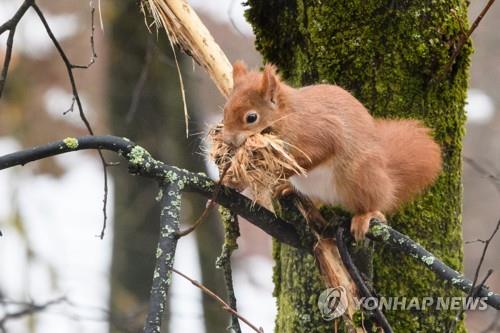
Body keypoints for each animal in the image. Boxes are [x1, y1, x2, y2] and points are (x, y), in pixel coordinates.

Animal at [223, 61, 442, 239]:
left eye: (251, 118)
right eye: (225, 110)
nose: (227, 140)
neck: (289, 117)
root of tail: (386, 174)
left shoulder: (322, 133)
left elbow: (316, 155)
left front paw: (277, 171)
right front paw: (236, 180)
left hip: (360, 175)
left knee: (376, 201)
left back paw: (366, 215)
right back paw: (290, 189)